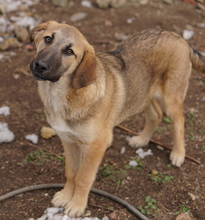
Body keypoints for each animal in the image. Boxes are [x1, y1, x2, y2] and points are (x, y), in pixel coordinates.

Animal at [29, 20, 204, 217]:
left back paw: (178, 154)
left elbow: (83, 177)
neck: (61, 94)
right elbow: (71, 172)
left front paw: (77, 205)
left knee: (179, 122)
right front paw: (66, 196)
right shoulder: (69, 140)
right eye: (48, 39)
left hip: (170, 98)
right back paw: (142, 140)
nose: (40, 65)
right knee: (156, 115)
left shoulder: (96, 146)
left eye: (69, 51)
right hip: (143, 94)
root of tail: (179, 37)